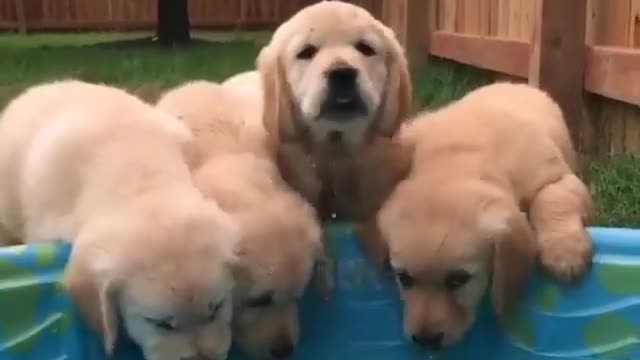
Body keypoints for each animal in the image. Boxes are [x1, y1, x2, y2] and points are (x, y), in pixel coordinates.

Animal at [378, 83, 592, 348]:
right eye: (404, 278)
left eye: (458, 280)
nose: (425, 340)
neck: (456, 158)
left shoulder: (558, 178)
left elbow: (553, 201)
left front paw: (564, 251)